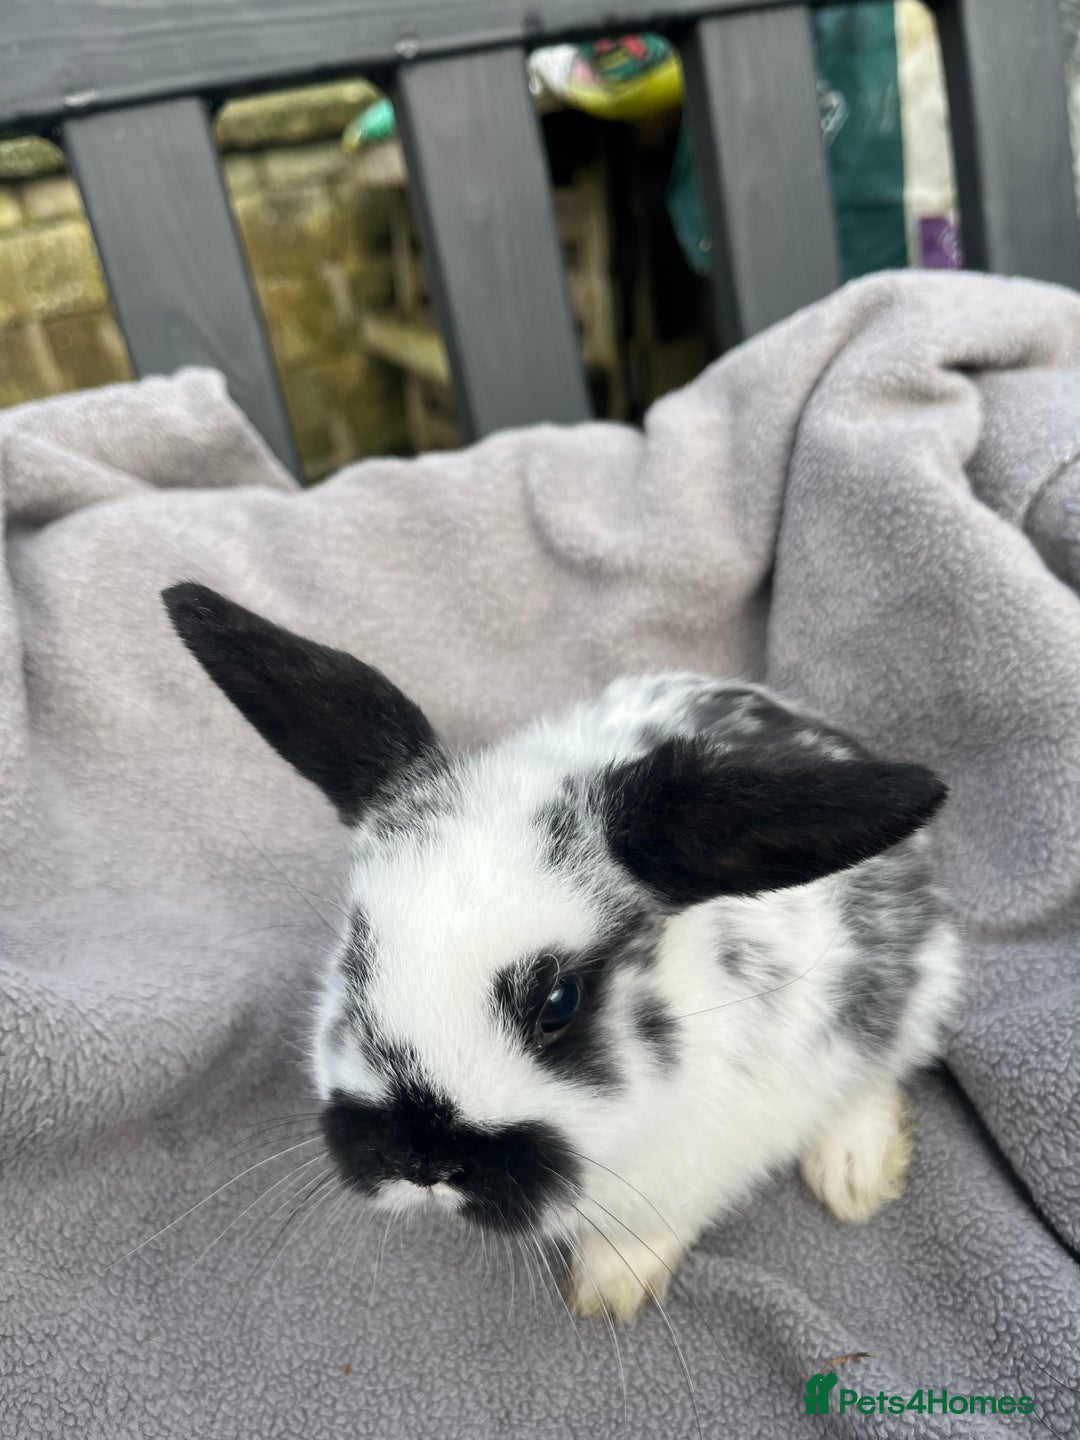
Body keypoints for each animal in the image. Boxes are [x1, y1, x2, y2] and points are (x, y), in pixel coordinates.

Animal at [163, 582, 960, 1322]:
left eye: (559, 1003)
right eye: (356, 955)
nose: (424, 1159)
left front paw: (607, 1289)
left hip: (909, 990)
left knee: (883, 1063)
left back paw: (855, 1173)